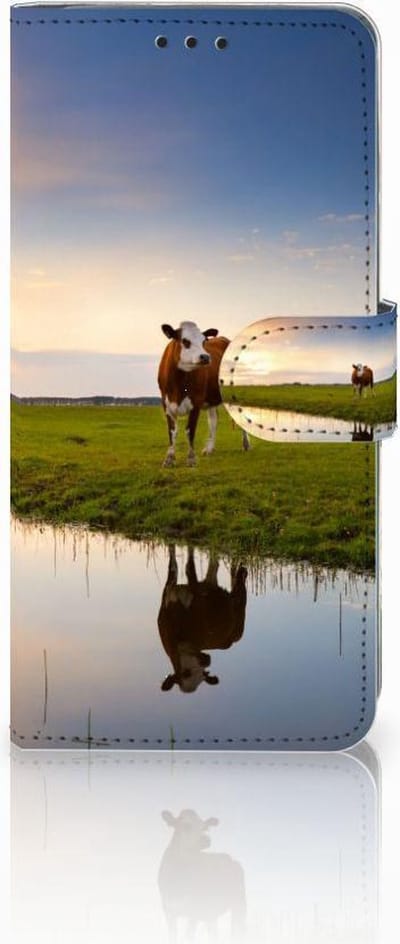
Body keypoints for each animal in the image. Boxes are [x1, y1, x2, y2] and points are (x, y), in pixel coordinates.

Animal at [158, 321, 249, 466]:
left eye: (204, 341)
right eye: (185, 341)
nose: (205, 357)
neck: (178, 385)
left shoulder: (196, 402)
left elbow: (190, 430)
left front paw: (191, 459)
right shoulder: (166, 403)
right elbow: (172, 431)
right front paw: (169, 459)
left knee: (239, 417)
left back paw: (246, 444)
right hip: (211, 398)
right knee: (213, 420)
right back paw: (209, 449)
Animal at [158, 546, 247, 694]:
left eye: (203, 674)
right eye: (185, 673)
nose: (207, 660)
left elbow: (189, 567)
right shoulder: (169, 590)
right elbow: (174, 564)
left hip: (239, 623)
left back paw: (242, 571)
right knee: (214, 569)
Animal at [158, 809, 246, 942]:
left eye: (204, 827)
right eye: (186, 825)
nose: (206, 839)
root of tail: (230, 858)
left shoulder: (195, 911)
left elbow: (189, 936)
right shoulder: (168, 909)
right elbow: (173, 936)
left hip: (239, 904)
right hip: (211, 912)